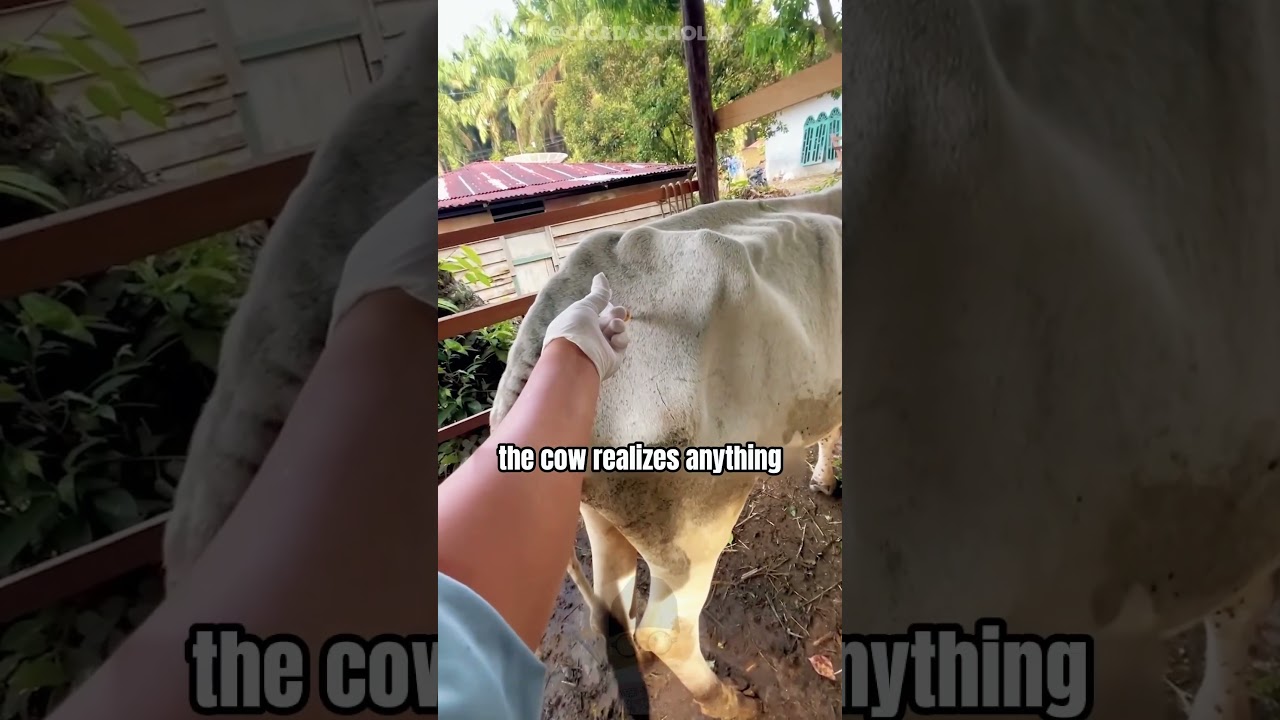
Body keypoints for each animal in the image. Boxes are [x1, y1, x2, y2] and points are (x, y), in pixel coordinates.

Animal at [488, 186, 844, 719]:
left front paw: (822, 478)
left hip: (601, 513)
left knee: (611, 603)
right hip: (697, 521)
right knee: (669, 630)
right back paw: (730, 702)